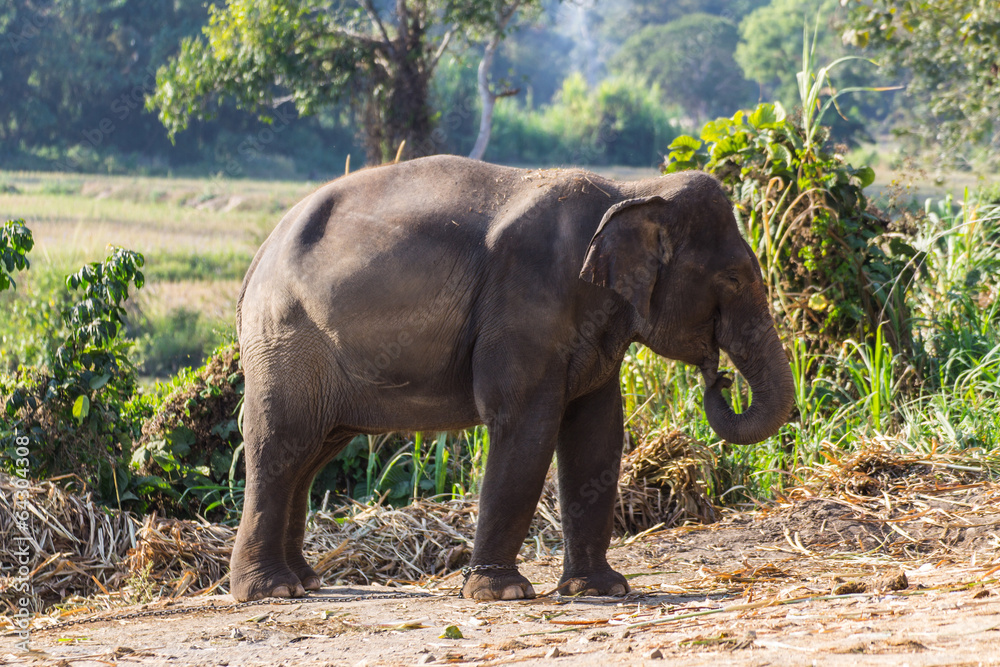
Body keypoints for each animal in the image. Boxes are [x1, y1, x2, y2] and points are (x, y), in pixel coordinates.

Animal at [231, 154, 795, 602]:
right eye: (733, 279)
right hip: (285, 340)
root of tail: (256, 258)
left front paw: (602, 589)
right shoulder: (526, 300)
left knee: (310, 453)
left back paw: (305, 581)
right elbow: (525, 423)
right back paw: (271, 591)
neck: (630, 193)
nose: (719, 379)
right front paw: (502, 593)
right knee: (279, 443)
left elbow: (597, 431)